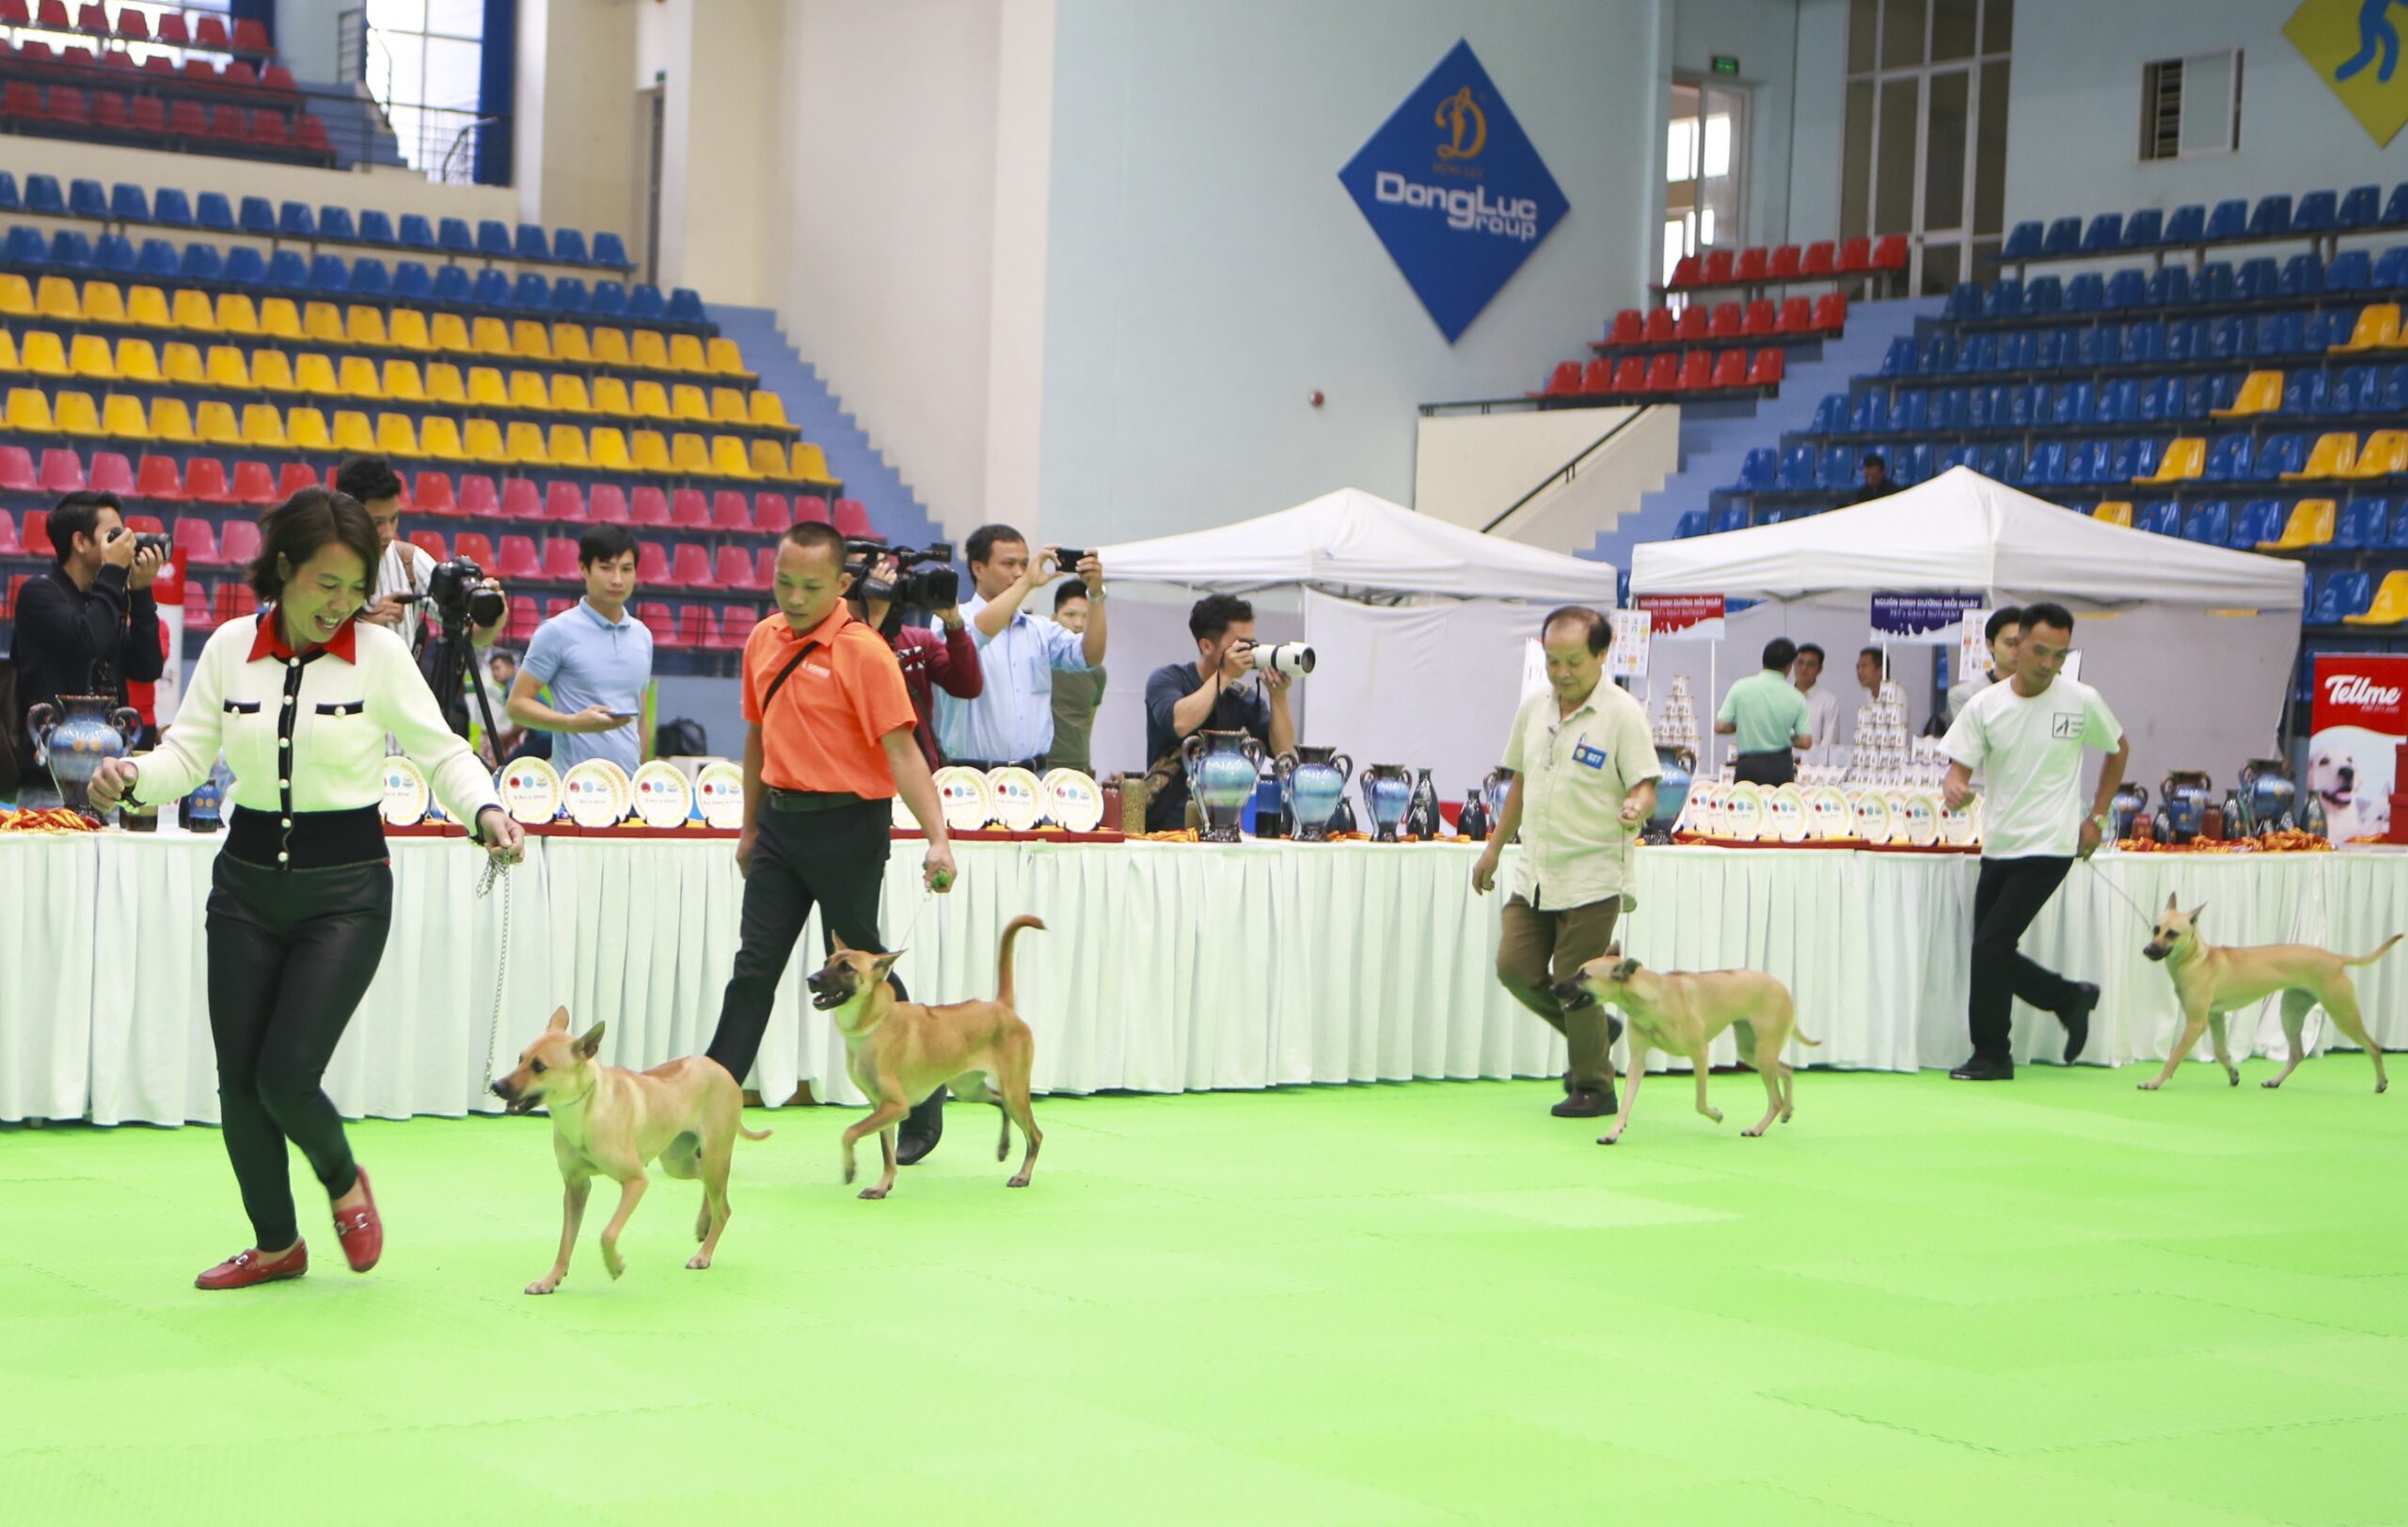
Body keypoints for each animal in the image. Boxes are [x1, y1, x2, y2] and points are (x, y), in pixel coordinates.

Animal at [496, 1007, 775, 1291]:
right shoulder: (575, 1187)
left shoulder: (636, 1181)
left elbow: (608, 1233)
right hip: (679, 1161)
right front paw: (550, 1280)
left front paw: (614, 1265)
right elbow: (565, 1242)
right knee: (708, 1184)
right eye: (520, 1058)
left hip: (714, 1155)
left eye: (539, 1067)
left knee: (724, 1209)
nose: (497, 1085)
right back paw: (703, 1223)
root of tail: (721, 1070)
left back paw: (703, 1255)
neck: (583, 1112)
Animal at [809, 910, 1045, 1194]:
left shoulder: (895, 1106)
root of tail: (1001, 1006)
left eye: (847, 968)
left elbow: (850, 1132)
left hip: (1014, 1090)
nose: (811, 980)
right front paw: (882, 1186)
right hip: (969, 1089)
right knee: (1000, 1103)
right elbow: (887, 1154)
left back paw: (1023, 1175)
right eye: (826, 961)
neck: (875, 1024)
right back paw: (1003, 1147)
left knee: (1035, 1134)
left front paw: (850, 1169)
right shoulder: (882, 1107)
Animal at [1550, 944, 1811, 1137]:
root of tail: (1782, 986)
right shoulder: (1637, 1061)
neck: (1652, 998)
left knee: (1775, 1098)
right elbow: (1625, 1104)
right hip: (1752, 1050)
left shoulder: (1700, 1053)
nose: (1553, 988)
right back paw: (1787, 1110)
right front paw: (1613, 1132)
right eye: (1578, 970)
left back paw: (1758, 1128)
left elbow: (1700, 1103)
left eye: (1584, 975)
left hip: (1764, 1051)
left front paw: (1716, 1114)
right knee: (1786, 1070)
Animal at [2147, 891, 2388, 1093]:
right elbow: (2221, 1051)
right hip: (2291, 1013)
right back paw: (2275, 1080)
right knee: (2296, 1054)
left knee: (2374, 1047)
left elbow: (2174, 1057)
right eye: (2156, 929)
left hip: (2343, 1014)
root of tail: (2337, 959)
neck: (2198, 959)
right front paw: (2233, 1074)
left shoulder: (2196, 1022)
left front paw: (2154, 1082)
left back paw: (2381, 1083)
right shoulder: (2215, 1016)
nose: (2147, 950)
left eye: (2172, 933)